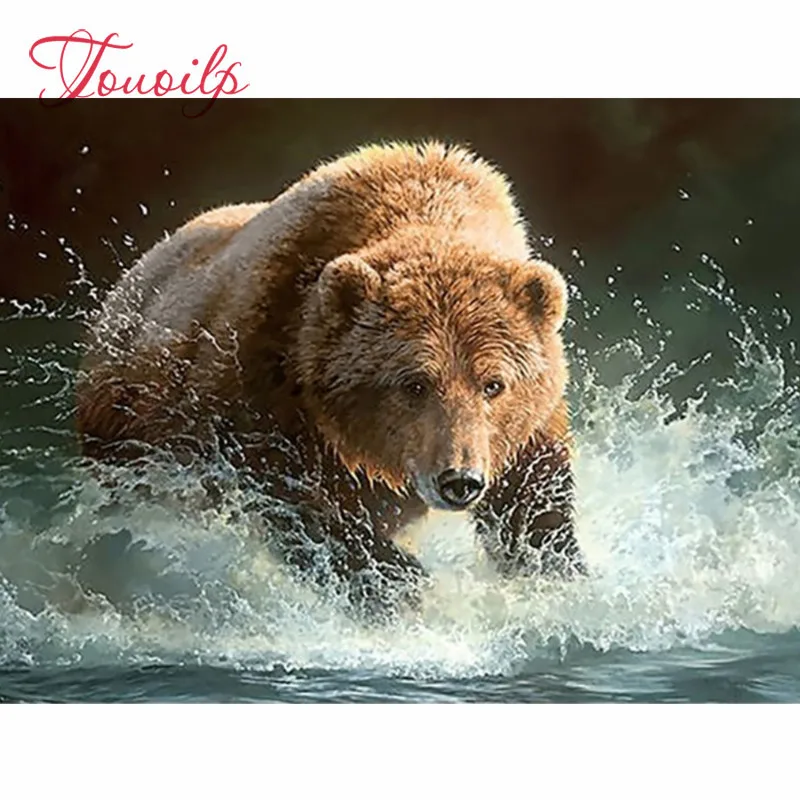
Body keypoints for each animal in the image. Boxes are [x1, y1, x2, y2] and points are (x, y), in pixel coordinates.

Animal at [75, 140, 585, 620]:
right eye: (415, 383)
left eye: (493, 384)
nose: (459, 480)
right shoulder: (265, 380)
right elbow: (289, 496)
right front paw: (395, 579)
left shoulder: (525, 427)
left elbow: (532, 500)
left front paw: (556, 570)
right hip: (125, 426)